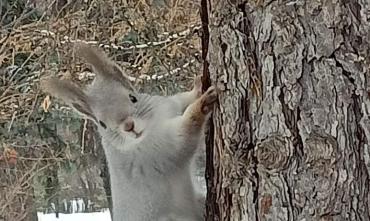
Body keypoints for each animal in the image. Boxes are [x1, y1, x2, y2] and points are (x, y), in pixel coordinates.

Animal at [41, 43, 217, 221]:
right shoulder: (162, 149)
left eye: (133, 97)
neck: (152, 125)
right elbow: (186, 132)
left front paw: (197, 87)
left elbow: (182, 100)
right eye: (102, 124)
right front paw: (202, 104)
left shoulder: (169, 105)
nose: (129, 126)